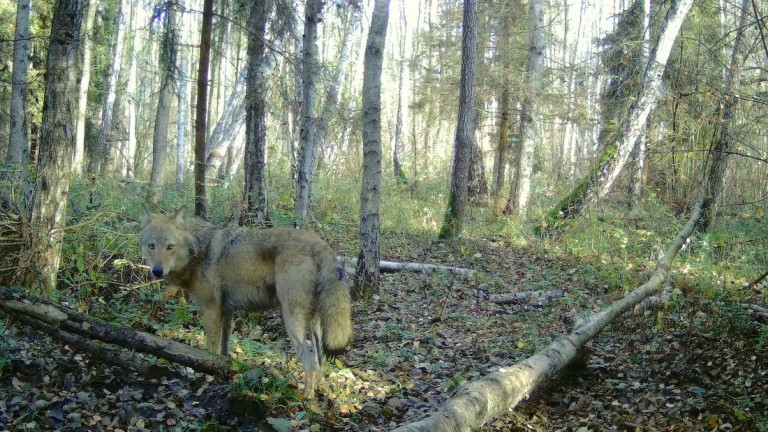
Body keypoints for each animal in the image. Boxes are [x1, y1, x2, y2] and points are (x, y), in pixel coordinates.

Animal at [140, 206, 352, 398]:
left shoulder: (211, 310)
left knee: (311, 363)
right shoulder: (226, 311)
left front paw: (207, 376)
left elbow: (211, 350)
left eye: (170, 246)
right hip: (313, 325)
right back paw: (321, 391)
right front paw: (222, 372)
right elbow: (223, 350)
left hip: (292, 322)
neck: (200, 249)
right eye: (151, 246)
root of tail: (320, 243)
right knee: (320, 360)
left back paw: (306, 397)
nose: (157, 271)